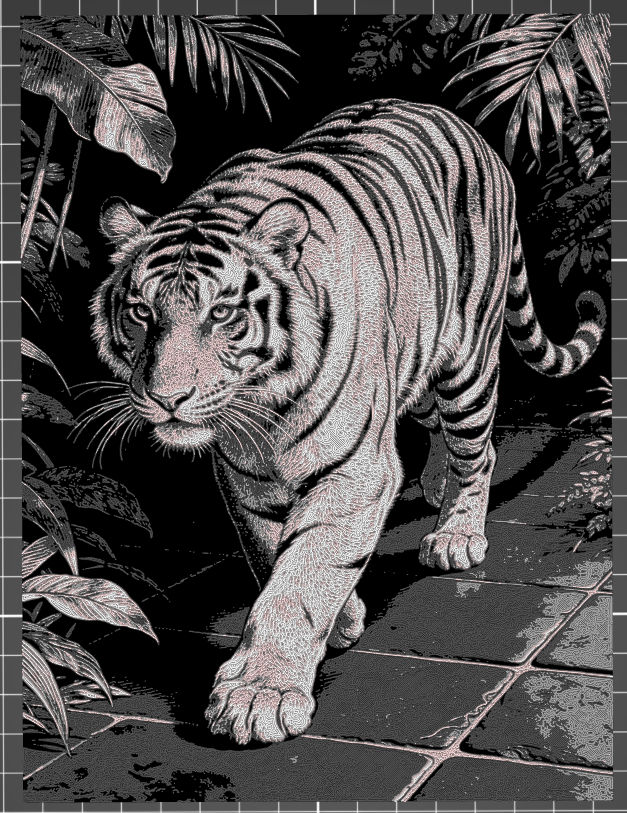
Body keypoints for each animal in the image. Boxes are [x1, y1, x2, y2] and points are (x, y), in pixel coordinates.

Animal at [91, 99, 606, 746]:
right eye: (140, 312)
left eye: (223, 313)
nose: (166, 398)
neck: (264, 411)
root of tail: (465, 126)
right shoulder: (245, 481)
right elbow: (274, 552)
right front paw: (342, 619)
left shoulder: (356, 470)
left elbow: (303, 572)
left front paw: (259, 694)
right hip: (415, 358)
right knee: (432, 426)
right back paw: (434, 485)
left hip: (466, 363)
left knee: (478, 450)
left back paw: (456, 535)